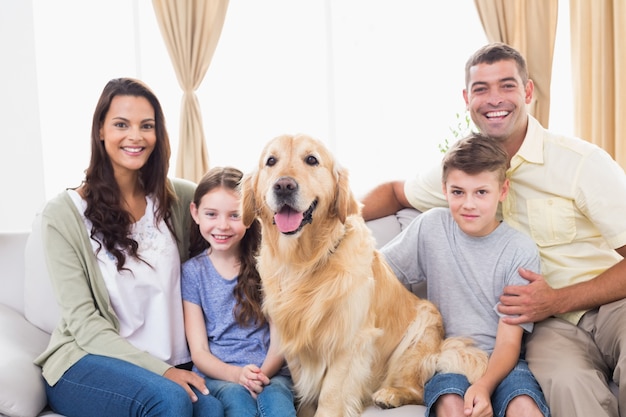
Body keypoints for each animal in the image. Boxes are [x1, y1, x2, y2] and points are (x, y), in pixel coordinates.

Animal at [239, 134, 488, 416]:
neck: (304, 263)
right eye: (271, 161)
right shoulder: (293, 340)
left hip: (421, 330)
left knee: (417, 390)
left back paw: (390, 394)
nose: (283, 186)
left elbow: (330, 396)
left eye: (311, 160)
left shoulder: (349, 341)